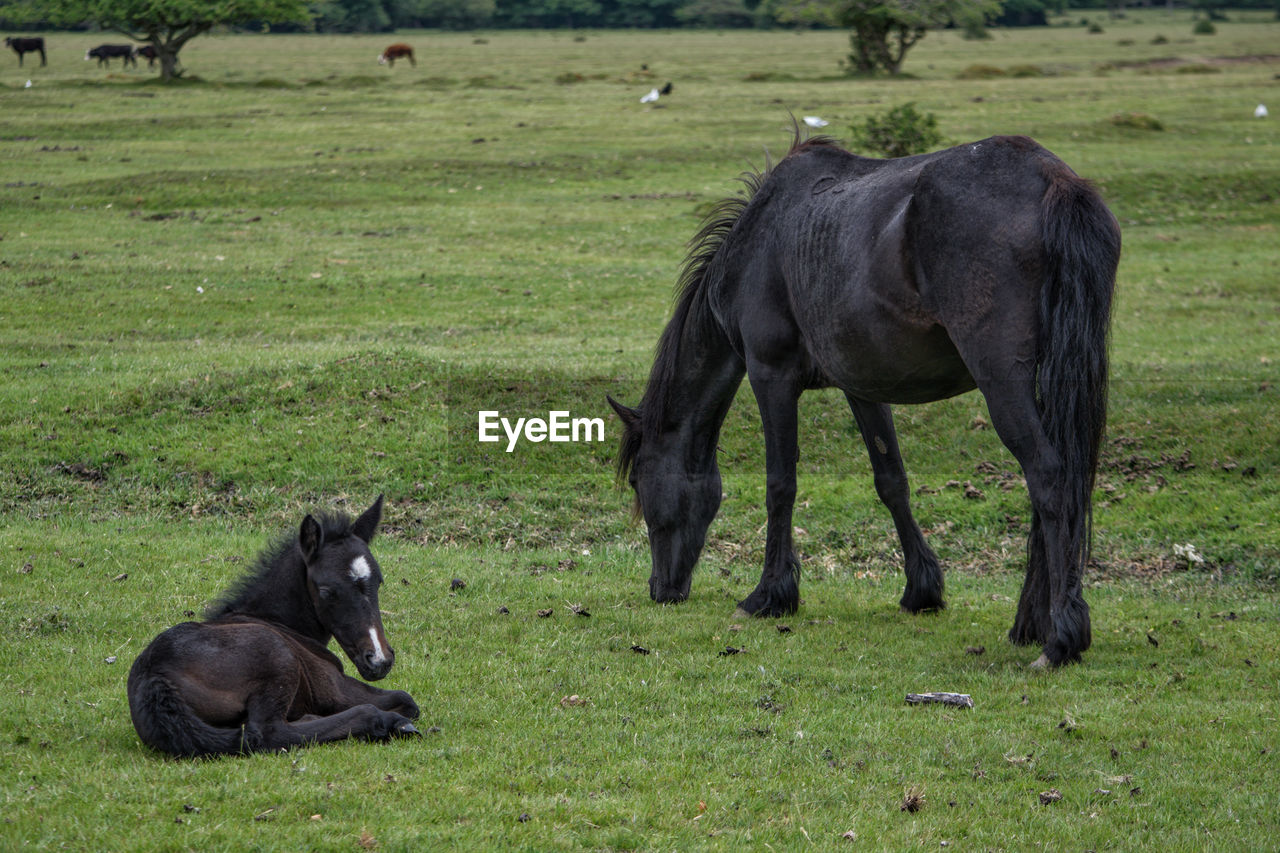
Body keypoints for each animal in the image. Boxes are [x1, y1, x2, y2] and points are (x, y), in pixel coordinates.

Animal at [124, 494, 417, 753]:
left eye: (378, 581)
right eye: (326, 591)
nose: (379, 660)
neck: (276, 621)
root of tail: (154, 678)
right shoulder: (333, 688)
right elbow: (405, 699)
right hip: (276, 657)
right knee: (269, 731)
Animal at [604, 131, 1116, 666]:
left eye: (638, 481)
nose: (660, 589)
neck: (760, 242)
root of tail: (1051, 177)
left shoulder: (770, 375)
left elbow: (780, 484)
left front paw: (770, 594)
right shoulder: (863, 386)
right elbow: (891, 481)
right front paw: (922, 589)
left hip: (1003, 381)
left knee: (1050, 478)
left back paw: (1060, 638)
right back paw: (1030, 624)